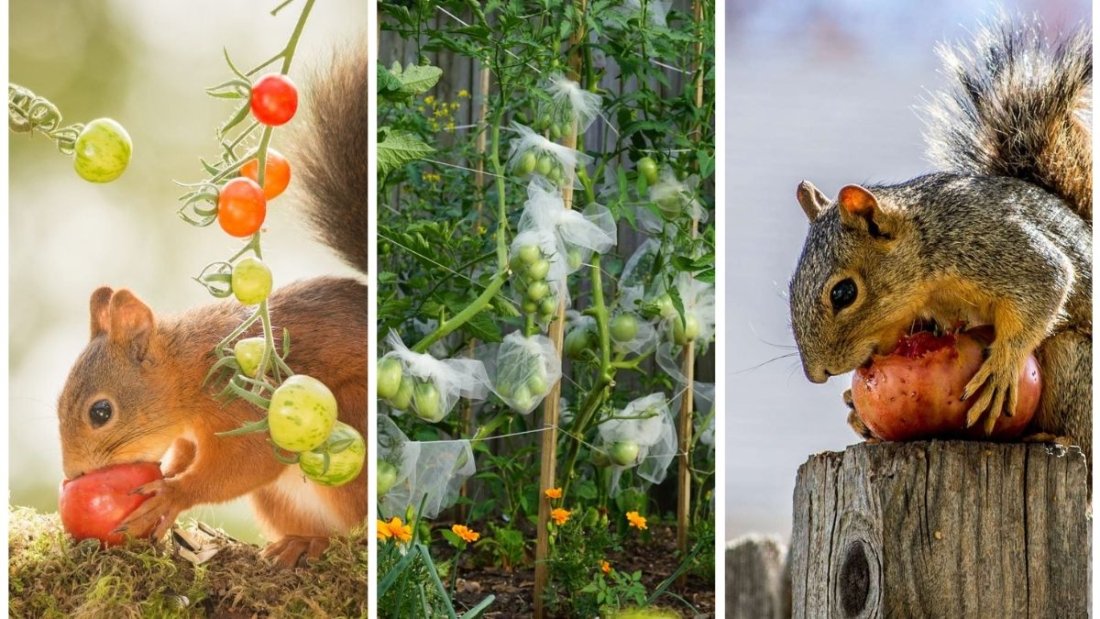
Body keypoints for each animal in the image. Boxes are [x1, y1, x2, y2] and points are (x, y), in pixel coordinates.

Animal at [55, 48, 370, 567]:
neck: (189, 369)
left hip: (353, 417)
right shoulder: (189, 434)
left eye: (100, 412)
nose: (74, 476)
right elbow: (185, 455)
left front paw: (172, 494)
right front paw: (168, 480)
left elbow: (248, 461)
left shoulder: (243, 408)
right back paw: (302, 541)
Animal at [788, 19, 1092, 464]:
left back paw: (1052, 437)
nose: (817, 375)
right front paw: (852, 406)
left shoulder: (994, 243)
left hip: (1076, 364)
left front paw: (1001, 367)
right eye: (791, 285)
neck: (928, 248)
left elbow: (1049, 281)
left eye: (844, 293)